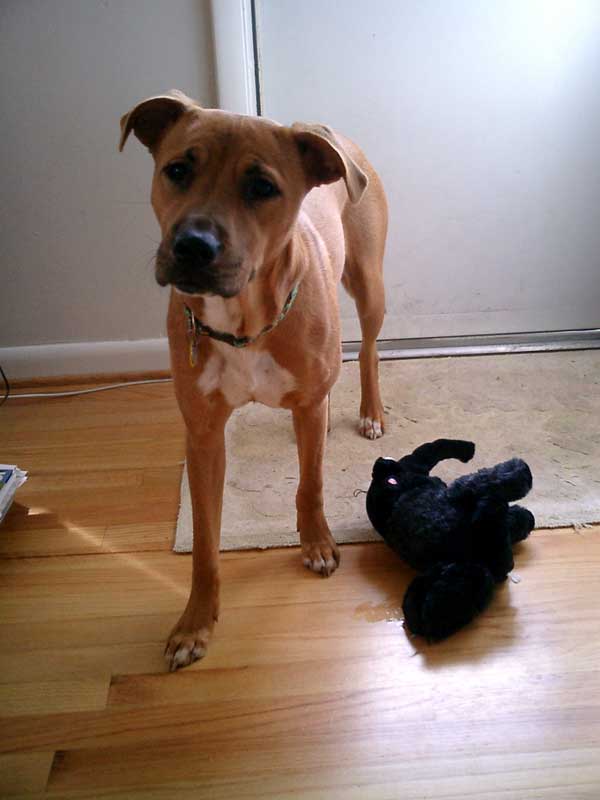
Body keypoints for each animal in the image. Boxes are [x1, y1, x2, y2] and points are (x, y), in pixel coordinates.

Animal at [120, 91, 388, 670]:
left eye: (262, 187)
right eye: (178, 169)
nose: (192, 245)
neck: (241, 319)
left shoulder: (306, 404)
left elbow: (311, 484)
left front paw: (317, 543)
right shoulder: (203, 434)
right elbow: (204, 541)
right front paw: (196, 622)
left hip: (368, 281)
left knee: (370, 349)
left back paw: (371, 413)